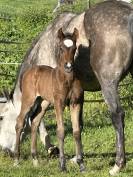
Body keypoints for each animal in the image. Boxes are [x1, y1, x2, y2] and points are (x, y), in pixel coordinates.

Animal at [0, 0, 133, 176]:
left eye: (1, 117)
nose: (4, 151)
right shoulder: (77, 96)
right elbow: (78, 125)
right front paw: (76, 159)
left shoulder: (49, 95)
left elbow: (38, 120)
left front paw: (51, 148)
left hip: (108, 84)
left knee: (117, 115)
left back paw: (118, 165)